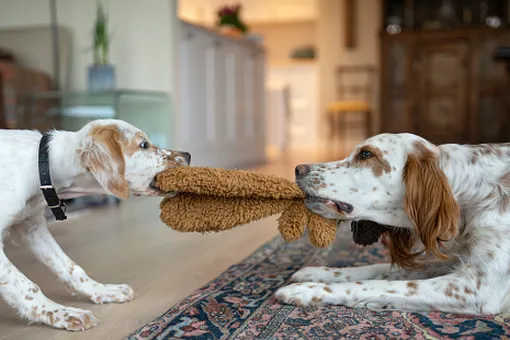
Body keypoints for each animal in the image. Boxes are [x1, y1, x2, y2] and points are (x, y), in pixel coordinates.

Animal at [0, 119, 189, 330]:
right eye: (143, 144)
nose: (188, 155)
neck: (41, 169)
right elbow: (25, 285)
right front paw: (61, 313)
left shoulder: (31, 226)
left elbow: (70, 267)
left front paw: (102, 291)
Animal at [276, 133, 510, 316]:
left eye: (366, 154)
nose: (298, 169)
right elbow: (383, 268)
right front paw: (319, 273)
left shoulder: (477, 287)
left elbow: (380, 284)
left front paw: (309, 290)